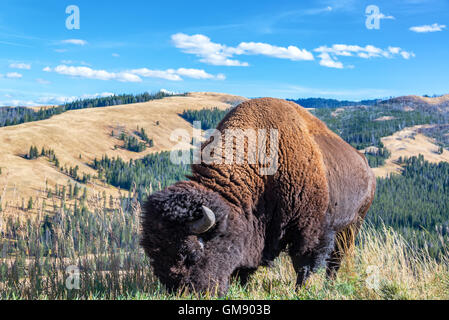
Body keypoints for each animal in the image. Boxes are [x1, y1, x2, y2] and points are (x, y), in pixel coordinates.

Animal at [140, 97, 374, 296]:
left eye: (191, 254)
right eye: (153, 255)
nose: (184, 292)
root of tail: (365, 164)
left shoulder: (310, 230)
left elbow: (303, 264)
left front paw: (299, 291)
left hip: (352, 224)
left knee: (336, 259)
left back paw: (329, 286)